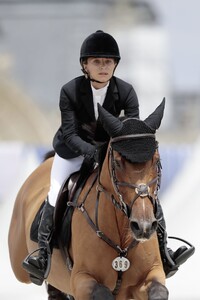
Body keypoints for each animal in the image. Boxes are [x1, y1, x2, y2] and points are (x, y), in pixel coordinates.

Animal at [8, 99, 169, 298]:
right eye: (117, 162)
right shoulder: (82, 280)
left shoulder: (151, 275)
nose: (144, 227)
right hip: (19, 263)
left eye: (157, 161)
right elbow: (100, 293)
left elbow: (158, 291)